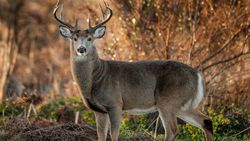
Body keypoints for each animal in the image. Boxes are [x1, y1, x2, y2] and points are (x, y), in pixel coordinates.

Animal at [53, 0, 214, 140]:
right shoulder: (98, 110)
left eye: (90, 38)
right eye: (74, 38)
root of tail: (198, 75)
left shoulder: (115, 103)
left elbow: (114, 135)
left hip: (169, 100)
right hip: (184, 104)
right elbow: (101, 136)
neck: (96, 78)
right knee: (206, 121)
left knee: (173, 130)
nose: (81, 49)